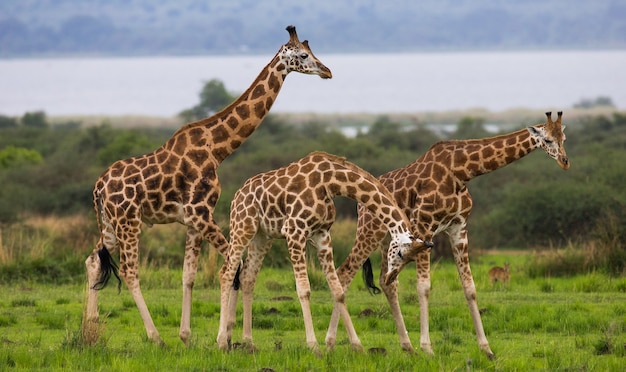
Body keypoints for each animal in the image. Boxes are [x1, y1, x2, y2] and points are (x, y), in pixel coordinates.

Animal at [83, 25, 332, 346]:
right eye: (302, 55)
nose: (327, 71)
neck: (217, 148)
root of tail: (98, 188)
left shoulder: (192, 219)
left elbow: (190, 275)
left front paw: (188, 336)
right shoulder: (202, 213)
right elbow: (234, 267)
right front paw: (226, 335)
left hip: (110, 224)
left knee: (93, 260)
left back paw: (90, 329)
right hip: (129, 221)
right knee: (129, 270)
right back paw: (155, 337)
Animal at [216, 152, 428, 354]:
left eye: (409, 260)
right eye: (400, 254)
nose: (390, 278)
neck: (330, 182)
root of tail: (237, 195)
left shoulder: (322, 236)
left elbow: (338, 290)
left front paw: (357, 346)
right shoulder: (294, 231)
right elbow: (304, 289)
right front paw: (314, 347)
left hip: (262, 236)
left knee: (247, 277)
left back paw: (248, 343)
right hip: (243, 227)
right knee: (227, 272)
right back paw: (222, 342)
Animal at [324, 109, 568, 358]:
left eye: (564, 139)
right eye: (548, 140)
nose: (564, 161)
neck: (461, 172)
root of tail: (359, 204)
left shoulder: (459, 228)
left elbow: (469, 287)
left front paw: (486, 349)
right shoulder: (425, 226)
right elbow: (424, 287)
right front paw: (428, 348)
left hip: (389, 240)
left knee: (387, 281)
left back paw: (407, 346)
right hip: (370, 230)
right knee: (345, 273)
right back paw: (337, 344)